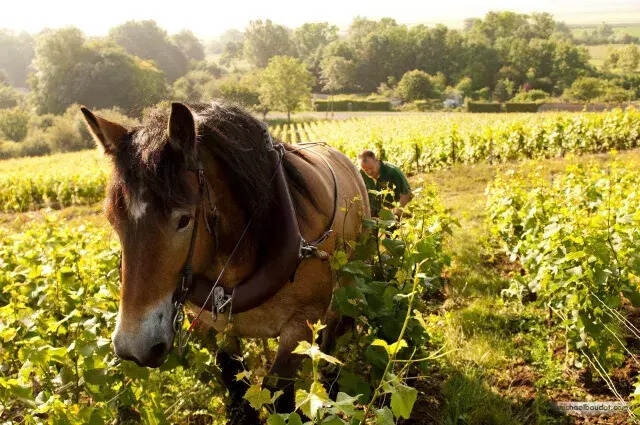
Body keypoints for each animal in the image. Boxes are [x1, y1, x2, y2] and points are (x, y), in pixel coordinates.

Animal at [80, 100, 370, 420]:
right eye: (112, 220)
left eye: (184, 220)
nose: (133, 346)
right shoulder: (217, 327)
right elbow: (236, 387)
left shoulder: (301, 324)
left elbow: (278, 395)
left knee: (334, 330)